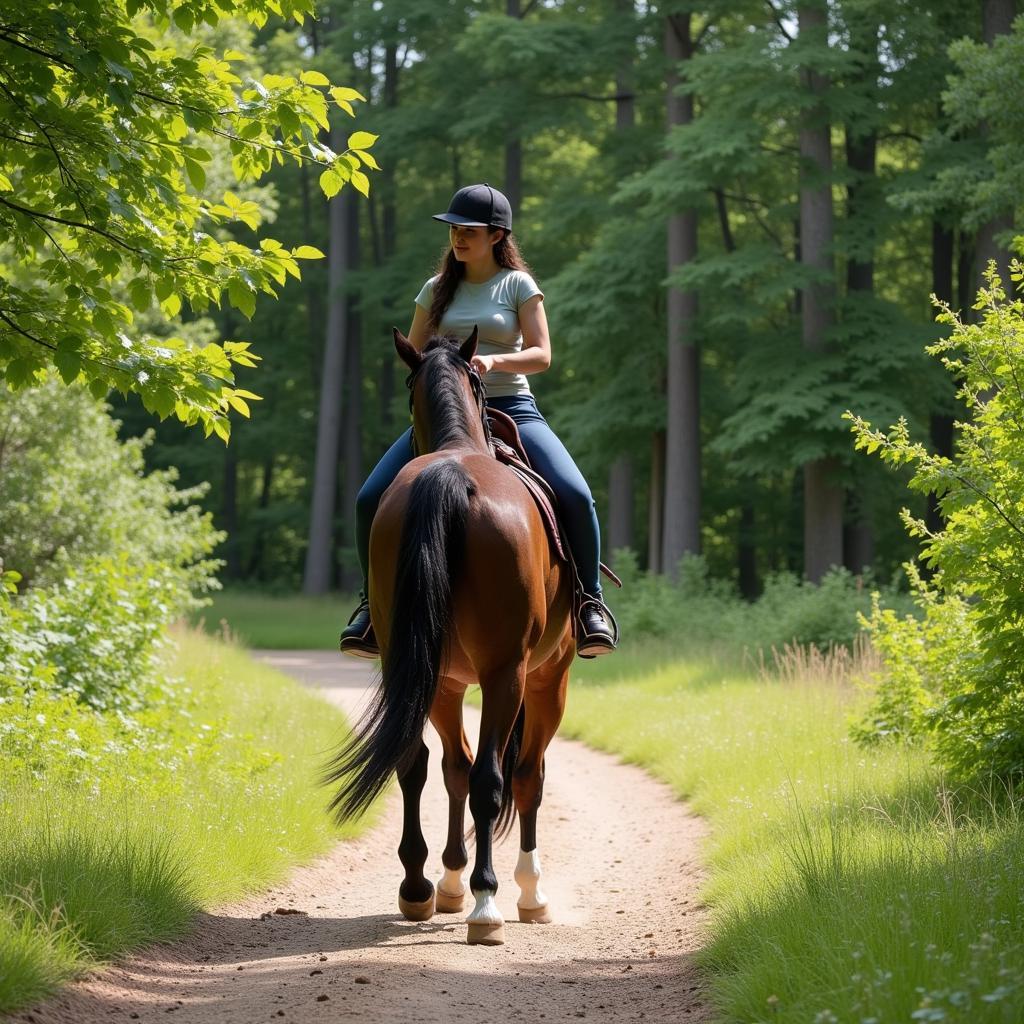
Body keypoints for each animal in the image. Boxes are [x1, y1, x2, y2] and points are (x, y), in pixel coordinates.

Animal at [321, 325, 573, 942]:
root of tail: (451, 475)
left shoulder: (445, 678)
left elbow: (447, 768)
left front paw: (447, 881)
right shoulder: (543, 676)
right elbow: (513, 777)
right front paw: (517, 890)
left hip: (420, 667)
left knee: (421, 763)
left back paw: (420, 888)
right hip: (516, 675)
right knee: (500, 776)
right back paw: (491, 902)